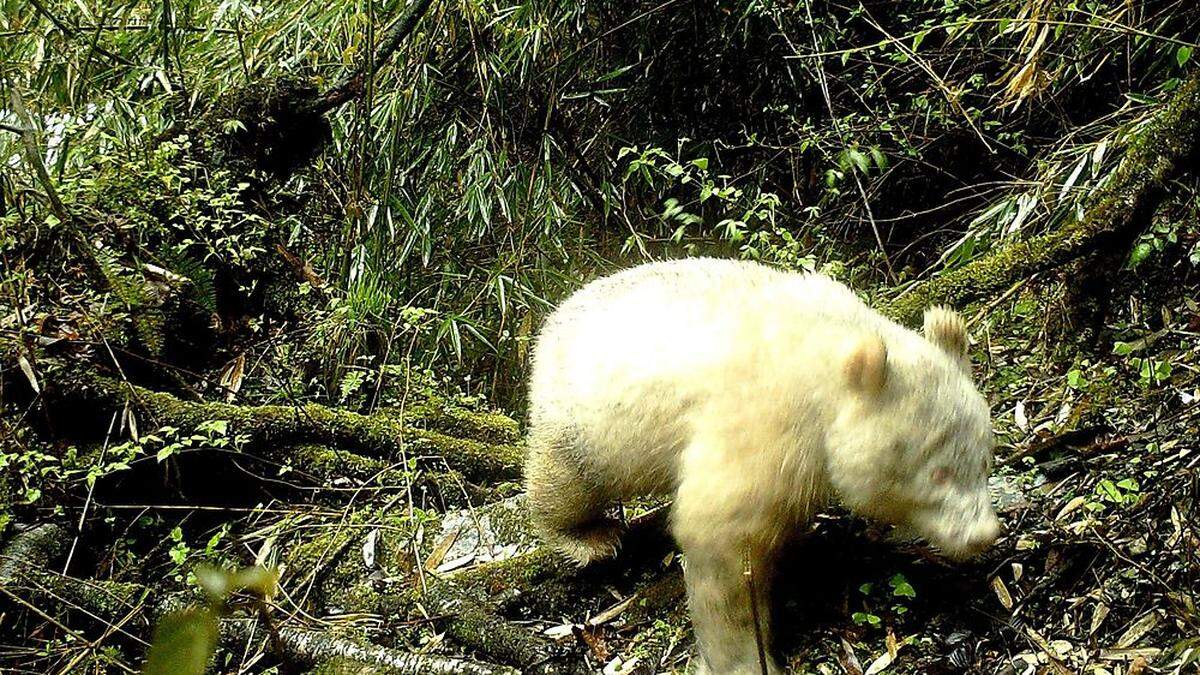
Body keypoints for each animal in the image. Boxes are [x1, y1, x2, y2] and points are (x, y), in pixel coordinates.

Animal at [520, 257, 998, 672]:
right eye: (938, 472)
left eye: (985, 460)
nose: (983, 535)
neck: (829, 358)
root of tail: (555, 317)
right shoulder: (766, 422)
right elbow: (722, 535)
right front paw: (743, 658)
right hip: (583, 420)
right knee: (565, 481)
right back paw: (588, 537)